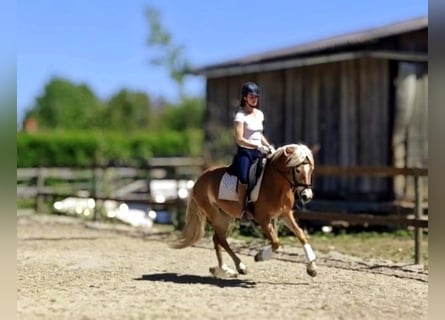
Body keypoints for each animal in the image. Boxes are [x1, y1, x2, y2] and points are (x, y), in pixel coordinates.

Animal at [168, 142, 318, 278]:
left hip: (225, 216)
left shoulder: (285, 214)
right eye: (298, 170)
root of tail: (200, 179)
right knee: (221, 239)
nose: (307, 196)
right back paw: (240, 267)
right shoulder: (262, 218)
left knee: (217, 239)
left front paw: (312, 268)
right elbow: (276, 242)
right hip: (216, 216)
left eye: (311, 170)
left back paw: (223, 269)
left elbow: (300, 234)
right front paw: (259, 256)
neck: (276, 184)